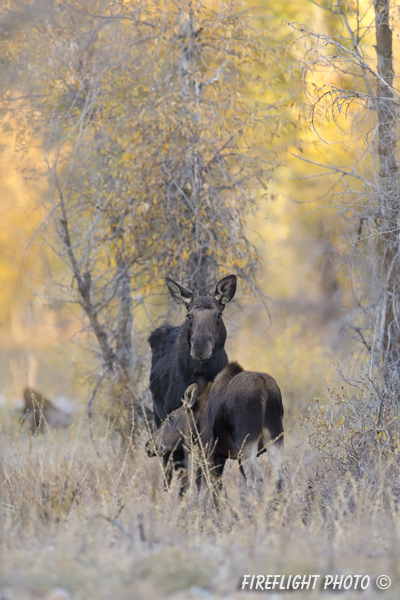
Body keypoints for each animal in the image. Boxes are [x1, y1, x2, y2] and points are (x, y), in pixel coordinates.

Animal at [147, 360, 284, 502]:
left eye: (171, 418)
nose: (149, 444)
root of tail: (264, 390)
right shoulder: (230, 456)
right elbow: (234, 490)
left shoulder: (210, 451)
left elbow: (206, 488)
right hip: (274, 436)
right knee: (279, 476)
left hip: (247, 440)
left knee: (256, 478)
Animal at [148, 274, 236, 490]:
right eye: (189, 316)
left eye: (218, 315)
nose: (200, 347)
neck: (203, 373)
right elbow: (185, 476)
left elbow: (210, 475)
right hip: (158, 418)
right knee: (168, 469)